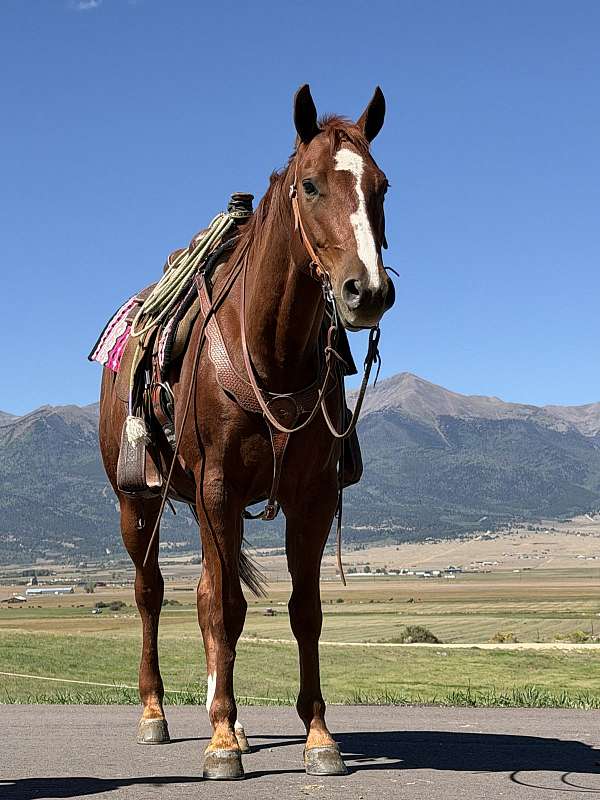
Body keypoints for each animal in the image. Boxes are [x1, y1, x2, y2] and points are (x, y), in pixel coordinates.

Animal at [98, 84, 394, 780]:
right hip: (137, 502)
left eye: (381, 187)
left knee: (206, 591)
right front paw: (220, 745)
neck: (270, 349)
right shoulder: (217, 490)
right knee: (153, 595)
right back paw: (157, 714)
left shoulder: (312, 498)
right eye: (311, 185)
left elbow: (303, 610)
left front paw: (317, 736)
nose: (367, 291)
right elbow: (223, 608)